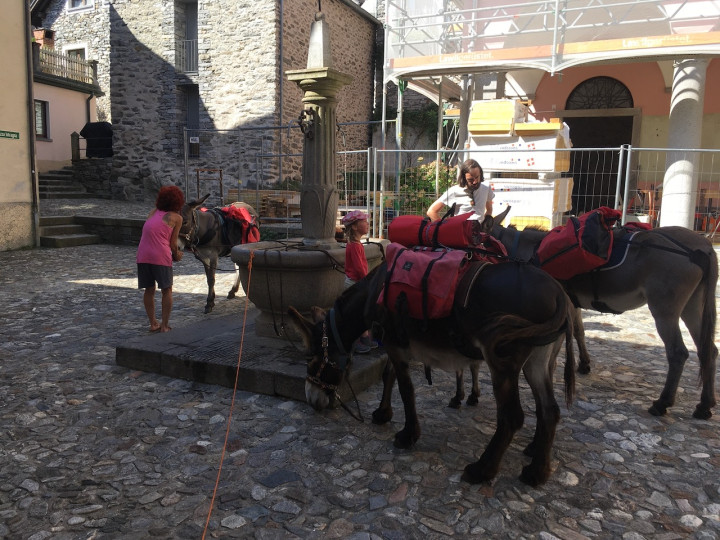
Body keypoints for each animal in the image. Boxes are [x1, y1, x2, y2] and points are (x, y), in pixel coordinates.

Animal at [289, 260, 576, 486]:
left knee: (512, 416)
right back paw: (537, 471)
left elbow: (405, 390)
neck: (375, 290)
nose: (311, 400)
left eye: (311, 359)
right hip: (538, 360)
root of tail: (558, 291)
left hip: (503, 362)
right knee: (549, 410)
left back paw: (482, 470)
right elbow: (388, 376)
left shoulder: (394, 345)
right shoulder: (395, 344)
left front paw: (407, 435)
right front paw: (383, 414)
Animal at [482, 207, 718, 420]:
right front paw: (584, 364)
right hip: (692, 306)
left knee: (678, 352)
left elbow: (565, 335)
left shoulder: (561, 303)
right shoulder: (572, 301)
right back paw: (704, 406)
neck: (529, 251)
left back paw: (662, 403)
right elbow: (579, 331)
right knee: (708, 350)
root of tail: (704, 247)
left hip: (665, 309)